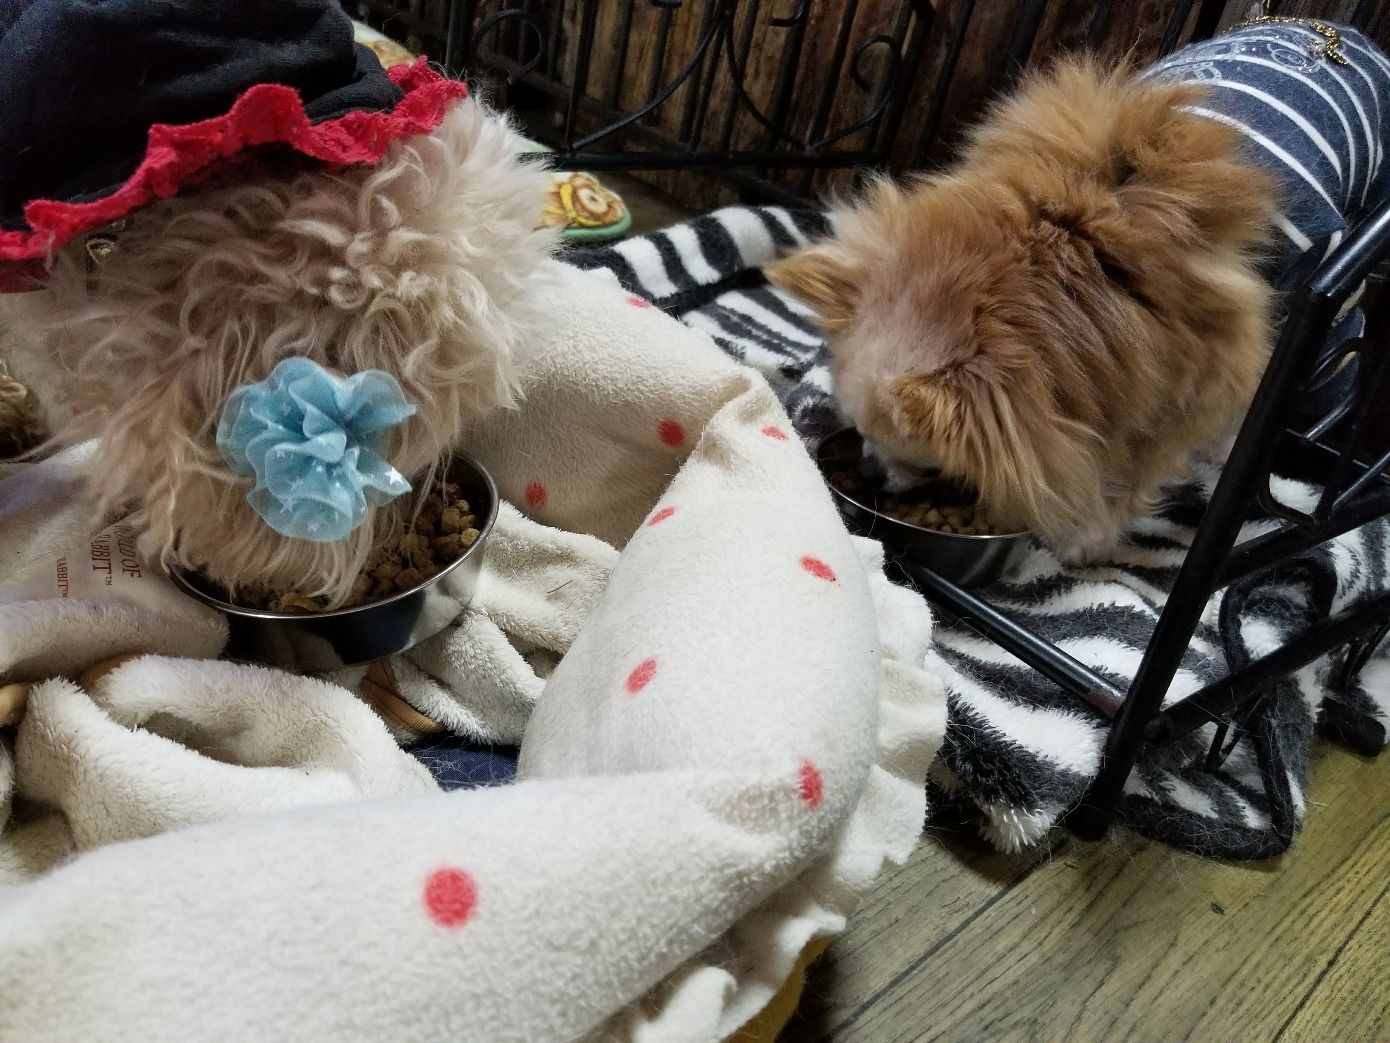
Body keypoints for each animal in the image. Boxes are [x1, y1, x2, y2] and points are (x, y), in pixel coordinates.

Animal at [769, 20, 1390, 563]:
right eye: (858, 432)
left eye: (920, 459)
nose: (871, 472)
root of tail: (1349, 37)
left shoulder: (1196, 378)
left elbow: (1140, 462)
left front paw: (1087, 538)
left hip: (1330, 318)